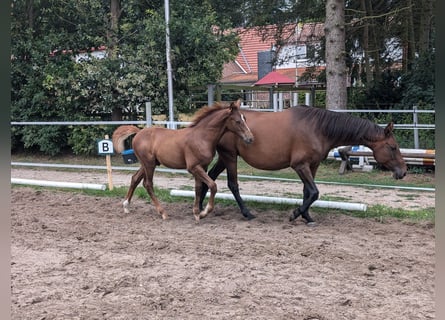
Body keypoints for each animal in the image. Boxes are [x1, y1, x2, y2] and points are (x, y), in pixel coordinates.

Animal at [112, 100, 253, 222]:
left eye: (245, 119)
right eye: (237, 121)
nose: (250, 138)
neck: (202, 137)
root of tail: (139, 132)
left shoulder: (202, 166)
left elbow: (198, 188)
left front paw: (196, 213)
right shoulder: (193, 167)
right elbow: (213, 185)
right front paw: (204, 212)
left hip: (147, 164)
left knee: (135, 179)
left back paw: (126, 206)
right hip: (149, 164)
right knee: (148, 184)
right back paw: (163, 212)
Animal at [199, 105, 408, 225]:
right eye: (393, 147)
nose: (403, 172)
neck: (318, 128)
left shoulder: (312, 165)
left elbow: (308, 192)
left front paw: (307, 217)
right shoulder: (300, 166)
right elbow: (314, 192)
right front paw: (296, 214)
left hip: (225, 158)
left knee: (208, 178)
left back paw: (201, 207)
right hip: (230, 157)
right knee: (232, 184)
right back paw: (247, 213)